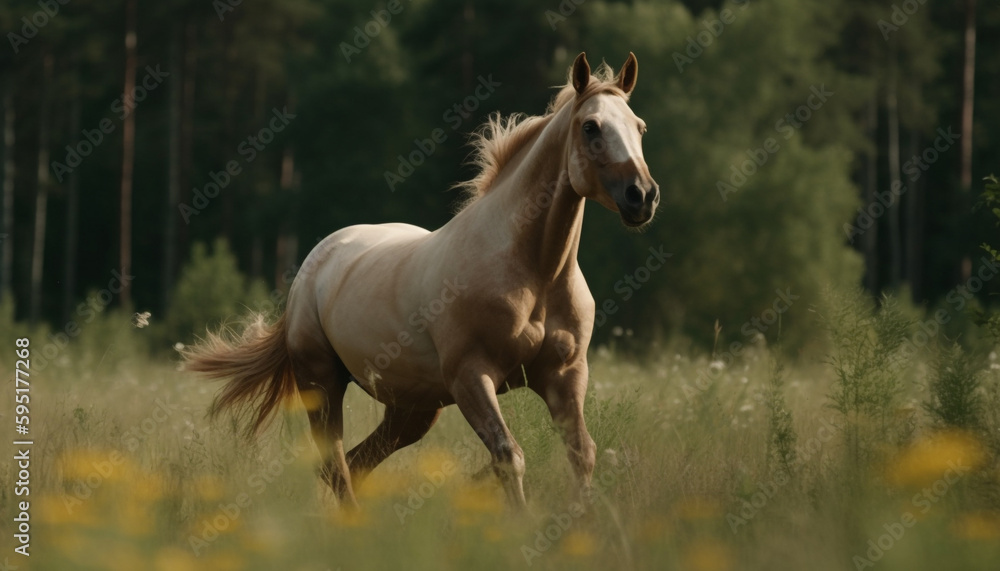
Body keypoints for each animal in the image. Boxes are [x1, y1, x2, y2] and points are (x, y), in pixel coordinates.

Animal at [183, 52, 659, 509]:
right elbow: (509, 456)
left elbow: (582, 454)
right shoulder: (472, 377)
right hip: (321, 383)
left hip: (412, 409)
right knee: (335, 465)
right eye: (591, 126)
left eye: (639, 127)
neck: (536, 276)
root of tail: (313, 266)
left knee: (355, 463)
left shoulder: (565, 376)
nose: (642, 196)